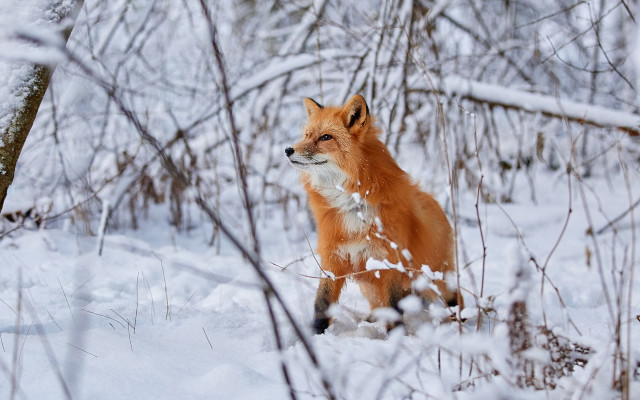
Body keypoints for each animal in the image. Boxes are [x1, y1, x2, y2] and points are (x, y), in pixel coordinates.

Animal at [286, 94, 462, 334]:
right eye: (306, 135)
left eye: (325, 137)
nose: (288, 150)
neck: (352, 207)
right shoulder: (333, 257)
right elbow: (322, 302)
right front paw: (316, 335)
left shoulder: (390, 261)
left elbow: (394, 308)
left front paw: (396, 337)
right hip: (370, 286)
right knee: (378, 305)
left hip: (437, 279)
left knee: (455, 297)